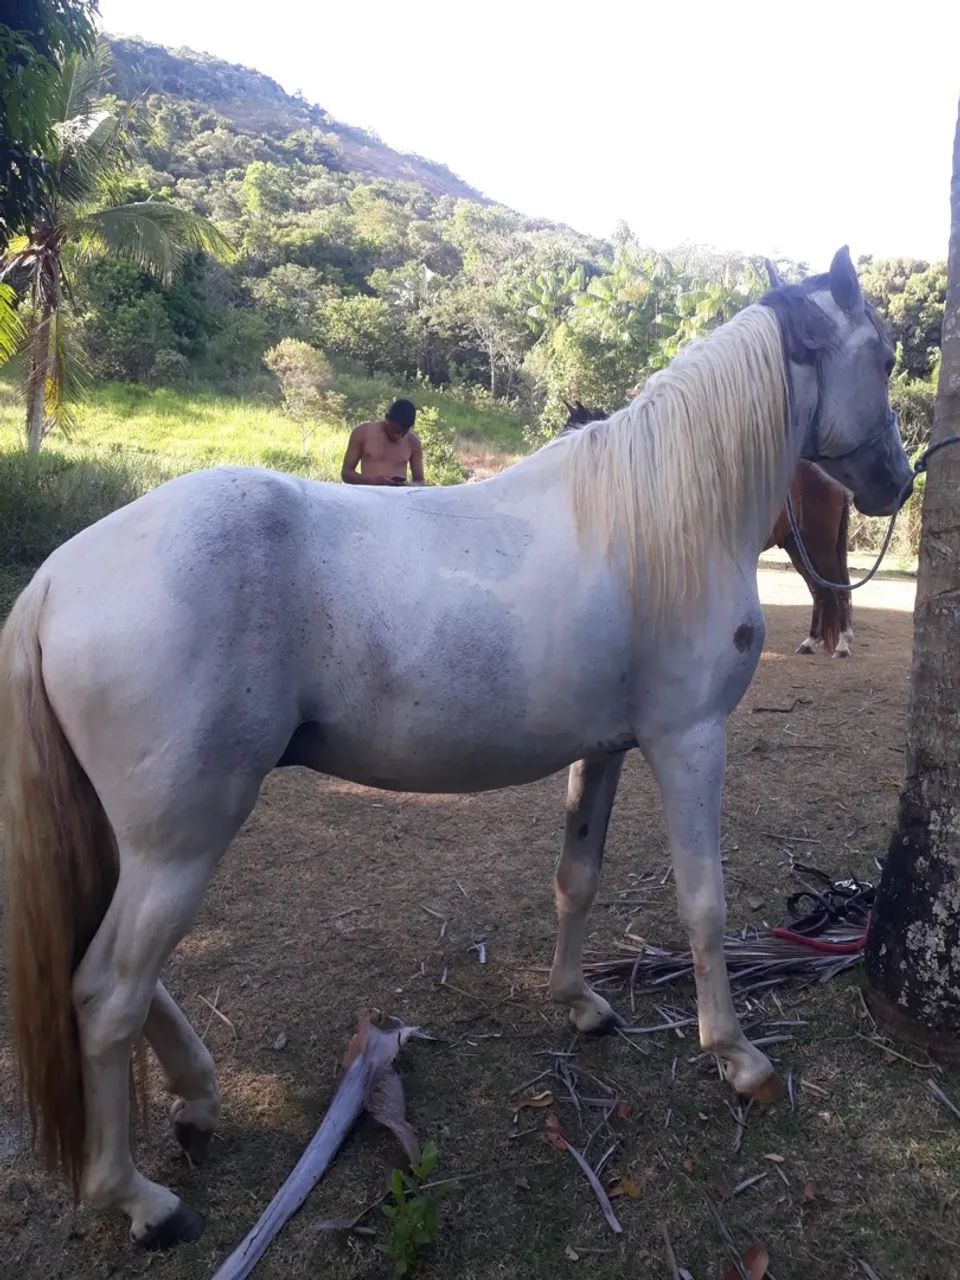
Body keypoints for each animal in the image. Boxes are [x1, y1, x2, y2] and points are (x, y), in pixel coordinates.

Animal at [561, 414, 855, 657]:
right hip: (798, 548)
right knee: (819, 590)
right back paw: (811, 641)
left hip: (819, 547)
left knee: (838, 588)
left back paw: (842, 644)